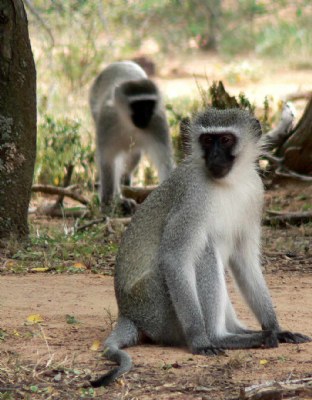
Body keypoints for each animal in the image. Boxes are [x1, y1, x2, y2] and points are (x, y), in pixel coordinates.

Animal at [89, 59, 174, 214]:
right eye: (138, 106)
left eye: (148, 105)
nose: (145, 116)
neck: (129, 123)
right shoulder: (106, 119)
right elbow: (107, 160)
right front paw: (108, 204)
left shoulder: (157, 119)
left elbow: (164, 161)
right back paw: (119, 198)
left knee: (134, 156)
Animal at [90, 108, 310, 386]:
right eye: (207, 140)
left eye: (225, 140)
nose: (214, 156)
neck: (230, 182)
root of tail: (128, 312)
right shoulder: (193, 197)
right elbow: (175, 258)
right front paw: (199, 339)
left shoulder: (255, 192)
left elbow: (244, 261)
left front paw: (276, 327)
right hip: (156, 307)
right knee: (204, 251)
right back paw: (223, 337)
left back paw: (247, 332)